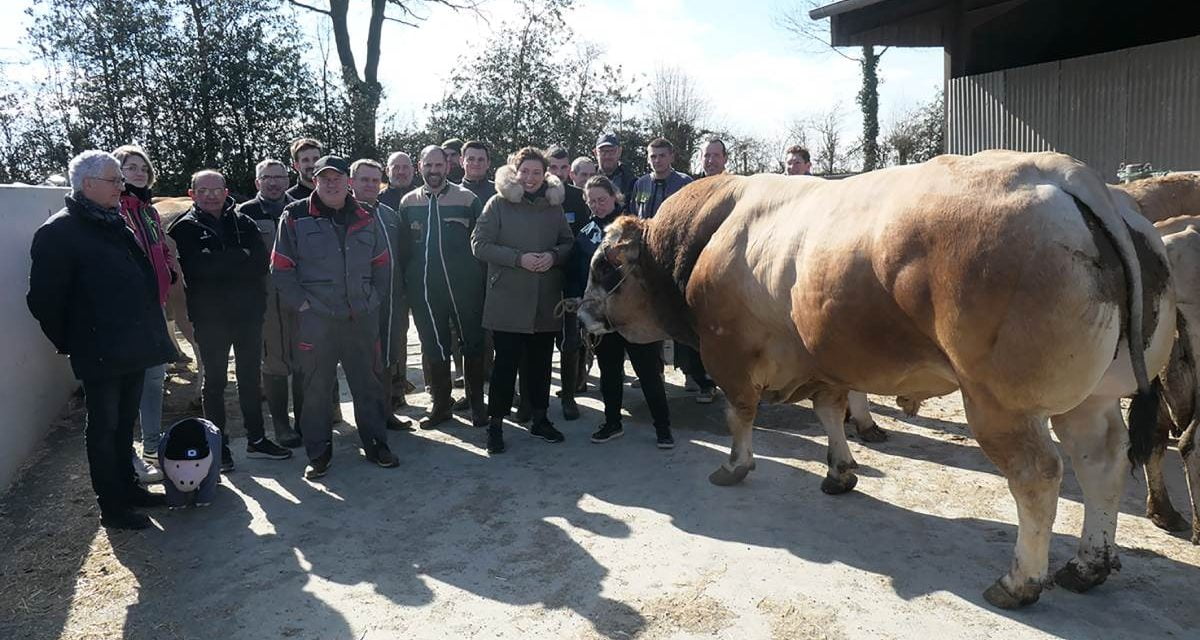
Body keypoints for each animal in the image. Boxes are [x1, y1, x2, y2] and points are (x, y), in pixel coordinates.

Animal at [576, 150, 1176, 609]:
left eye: (604, 266)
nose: (578, 314)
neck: (708, 236)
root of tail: (1065, 172)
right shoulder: (824, 358)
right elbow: (829, 412)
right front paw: (841, 472)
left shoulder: (731, 354)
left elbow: (739, 413)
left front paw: (734, 466)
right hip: (1092, 398)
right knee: (1101, 464)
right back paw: (1087, 565)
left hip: (1001, 404)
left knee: (1039, 476)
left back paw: (1019, 581)